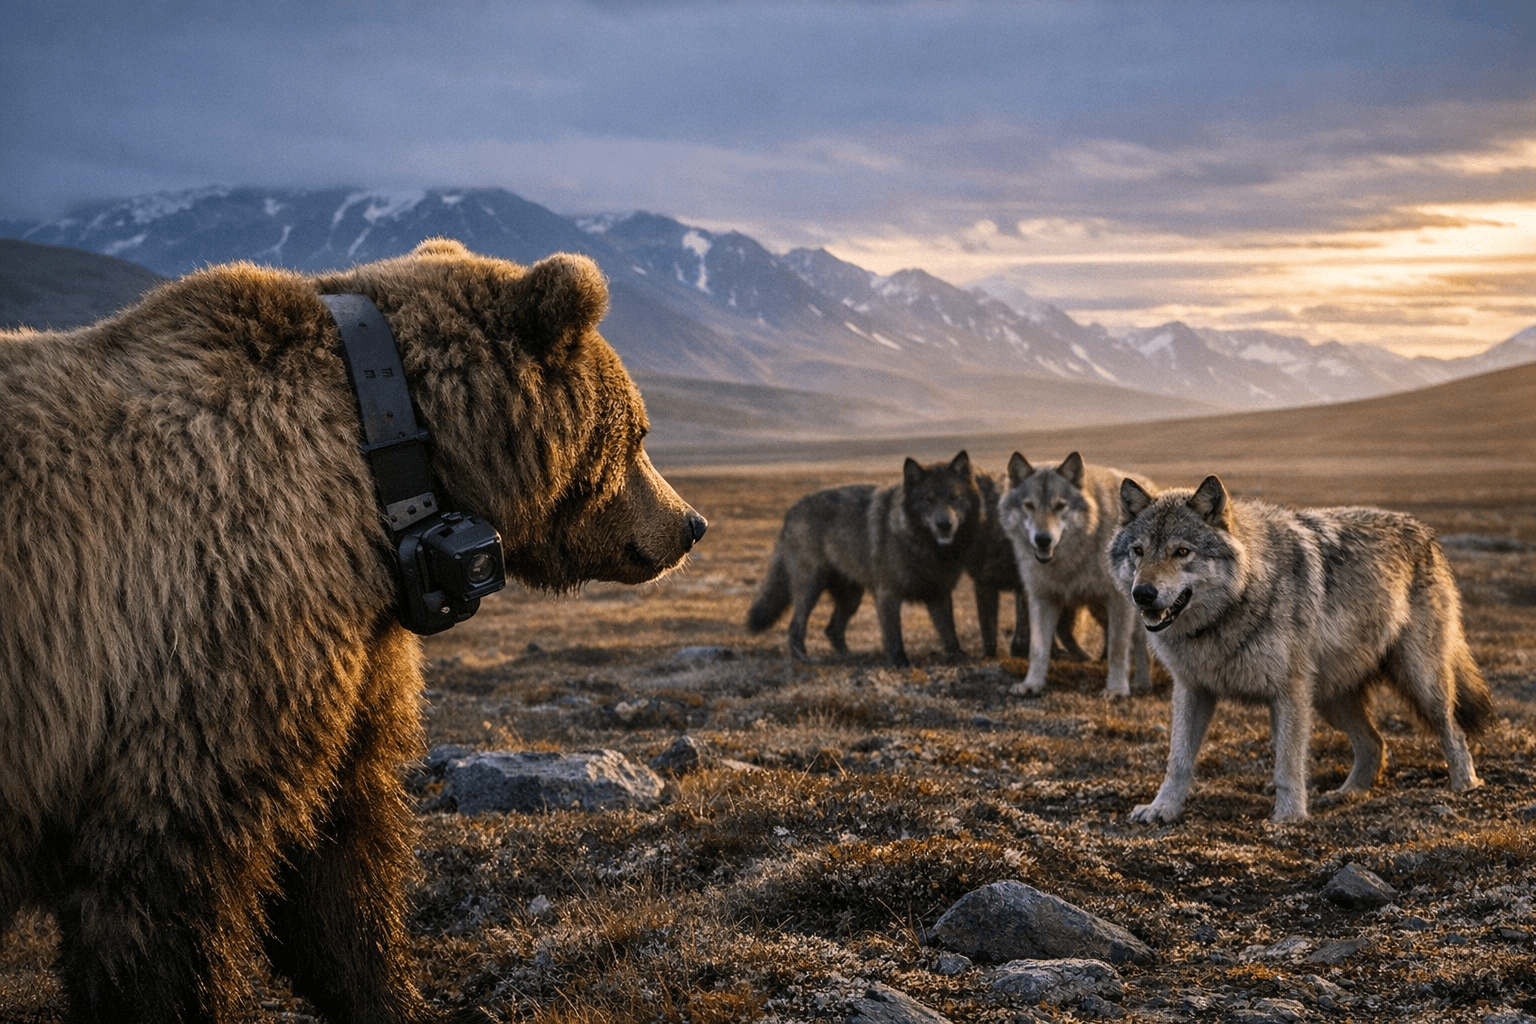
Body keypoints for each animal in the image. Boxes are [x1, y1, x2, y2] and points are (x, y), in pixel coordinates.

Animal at [0, 238, 706, 1023]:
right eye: (638, 433)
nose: (689, 524)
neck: (383, 479)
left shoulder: (346, 650)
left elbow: (340, 842)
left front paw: (390, 990)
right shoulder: (204, 639)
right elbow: (168, 888)